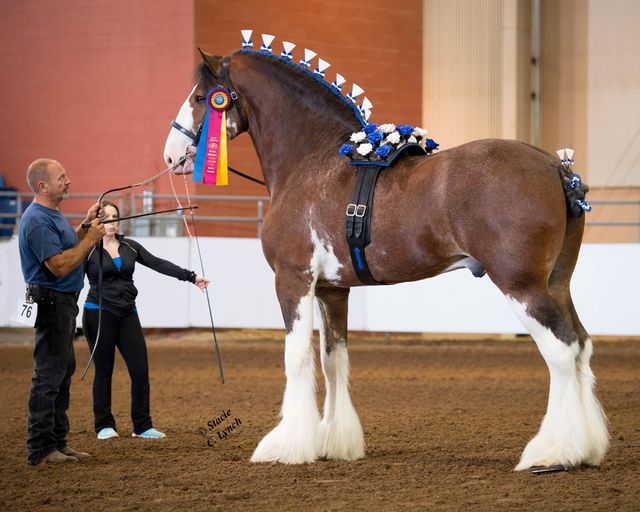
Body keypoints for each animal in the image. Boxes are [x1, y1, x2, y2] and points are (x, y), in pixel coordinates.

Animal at [162, 46, 608, 470]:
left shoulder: (293, 281)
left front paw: (286, 446)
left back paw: (551, 453)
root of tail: (554, 166)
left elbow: (297, 359)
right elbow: (333, 360)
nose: (171, 155)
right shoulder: (332, 291)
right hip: (556, 284)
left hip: (522, 286)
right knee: (581, 346)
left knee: (561, 350)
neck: (312, 163)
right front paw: (334, 444)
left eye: (202, 98)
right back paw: (584, 449)